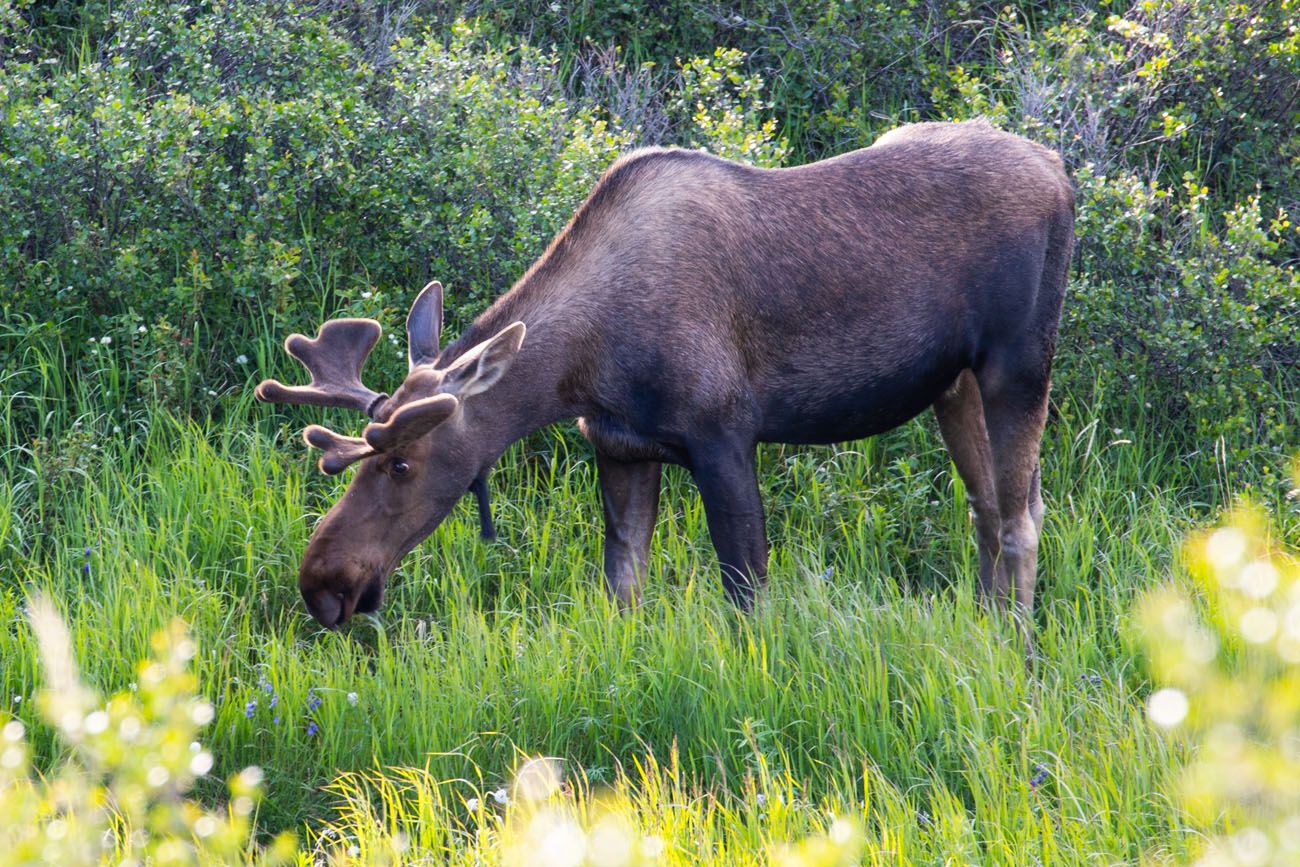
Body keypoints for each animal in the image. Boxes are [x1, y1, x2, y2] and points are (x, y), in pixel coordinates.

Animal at [256, 118, 1076, 636]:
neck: (581, 368)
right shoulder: (620, 447)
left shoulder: (725, 437)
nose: (321, 583)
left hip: (1018, 363)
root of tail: (1062, 172)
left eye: (402, 462)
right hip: (953, 382)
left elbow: (747, 598)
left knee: (1021, 517)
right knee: (988, 508)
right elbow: (624, 589)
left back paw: (1017, 654)